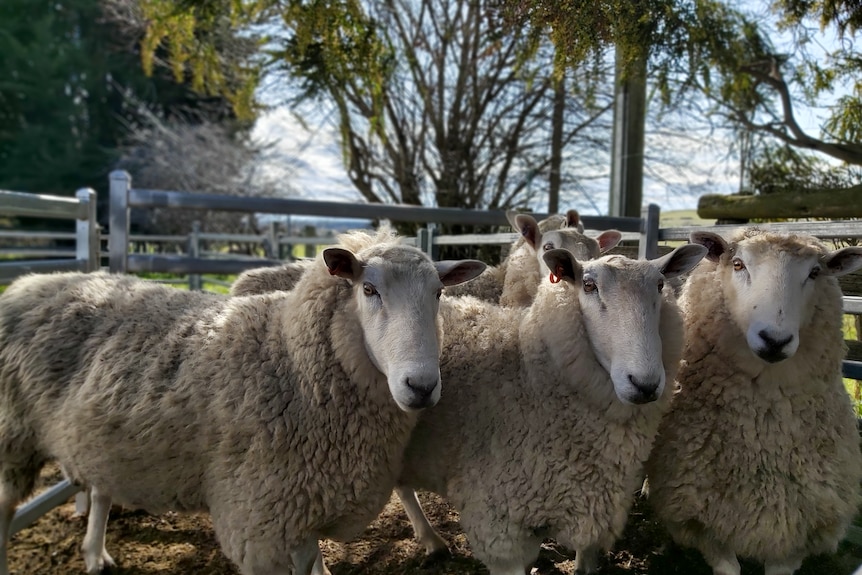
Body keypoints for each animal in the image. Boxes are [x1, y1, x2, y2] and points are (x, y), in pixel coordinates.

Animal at [0, 228, 490, 575]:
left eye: (439, 293)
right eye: (368, 290)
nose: (421, 385)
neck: (289, 362)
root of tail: (32, 281)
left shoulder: (300, 509)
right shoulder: (260, 520)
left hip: (96, 436)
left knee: (100, 488)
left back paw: (94, 553)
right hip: (13, 438)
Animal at [396, 244, 708, 575]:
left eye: (660, 285)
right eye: (589, 285)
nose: (645, 384)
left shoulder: (592, 507)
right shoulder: (499, 529)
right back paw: (432, 540)